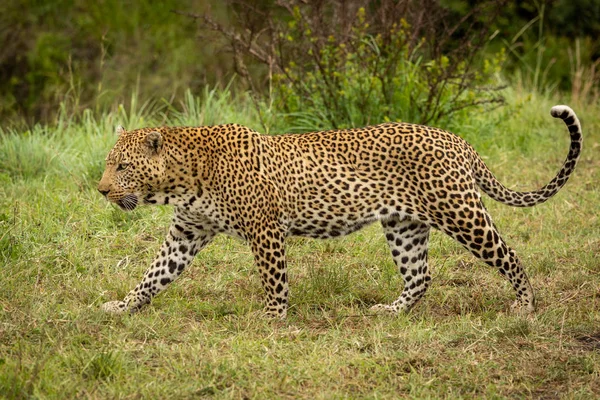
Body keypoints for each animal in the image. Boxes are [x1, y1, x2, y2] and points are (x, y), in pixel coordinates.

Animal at [98, 105, 580, 318]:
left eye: (122, 166)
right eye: (109, 163)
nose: (101, 189)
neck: (180, 180)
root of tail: (455, 139)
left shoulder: (265, 231)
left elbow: (274, 281)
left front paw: (273, 321)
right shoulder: (186, 232)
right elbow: (154, 274)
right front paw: (122, 306)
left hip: (460, 212)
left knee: (509, 255)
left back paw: (525, 306)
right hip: (404, 226)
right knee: (420, 276)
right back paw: (389, 312)